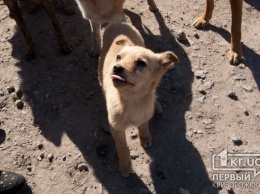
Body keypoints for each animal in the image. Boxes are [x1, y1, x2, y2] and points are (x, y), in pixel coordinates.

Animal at [98, 22, 179, 176]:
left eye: (141, 63)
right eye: (119, 57)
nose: (116, 68)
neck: (132, 100)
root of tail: (117, 22)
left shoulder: (144, 114)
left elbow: (144, 125)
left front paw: (145, 137)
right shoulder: (117, 128)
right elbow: (122, 147)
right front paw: (125, 166)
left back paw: (156, 104)